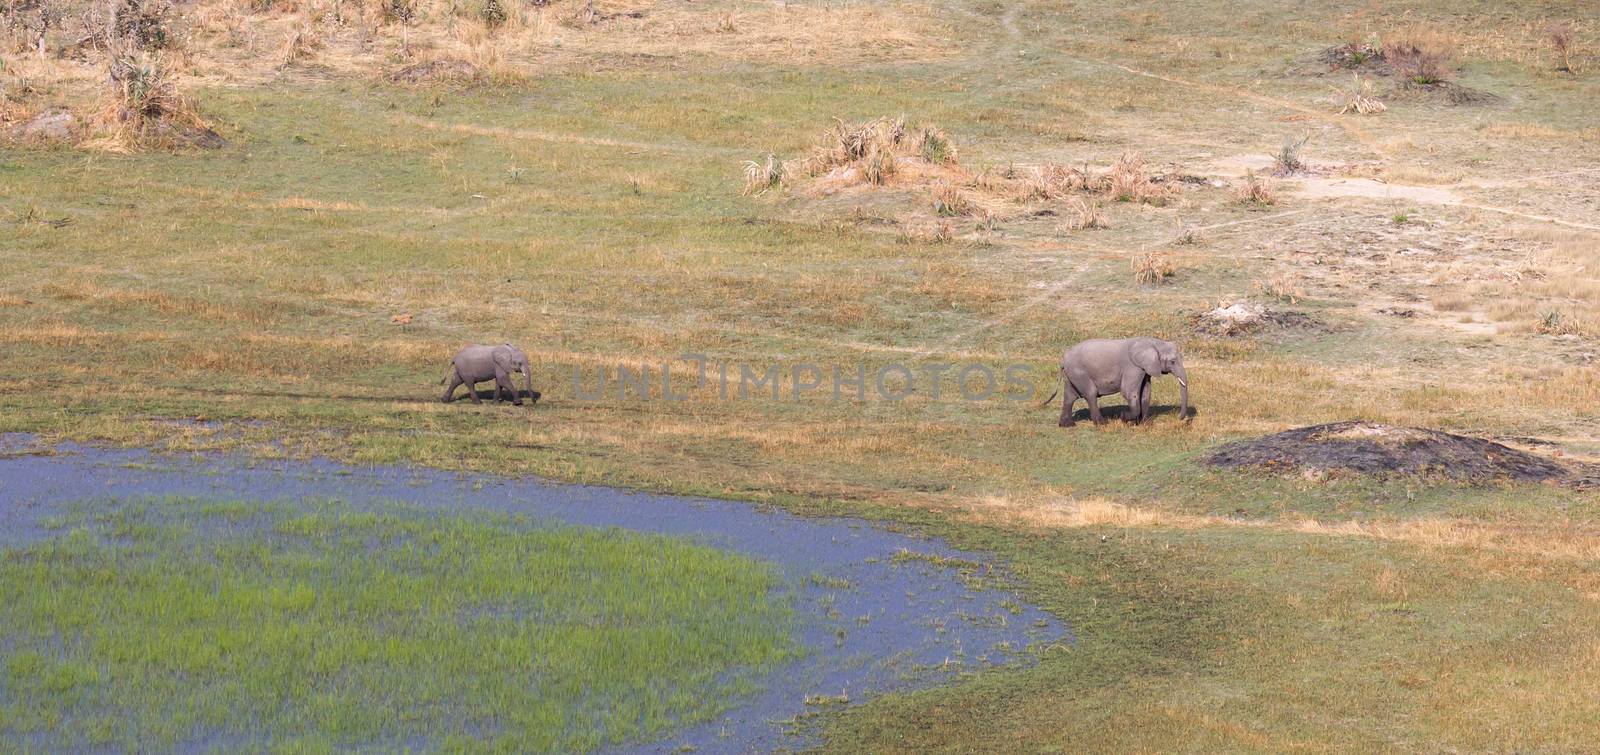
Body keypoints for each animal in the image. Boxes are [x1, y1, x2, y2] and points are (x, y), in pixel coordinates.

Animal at [1049, 337, 1190, 428]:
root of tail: (1063, 360)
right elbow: (1129, 392)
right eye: (1172, 362)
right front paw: (1124, 418)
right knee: (1090, 394)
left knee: (1070, 396)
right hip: (1079, 372)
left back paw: (1067, 425)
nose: (1179, 417)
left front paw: (1145, 424)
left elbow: (1145, 392)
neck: (1153, 342)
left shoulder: (1145, 369)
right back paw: (1102, 424)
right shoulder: (1133, 367)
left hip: (1073, 374)